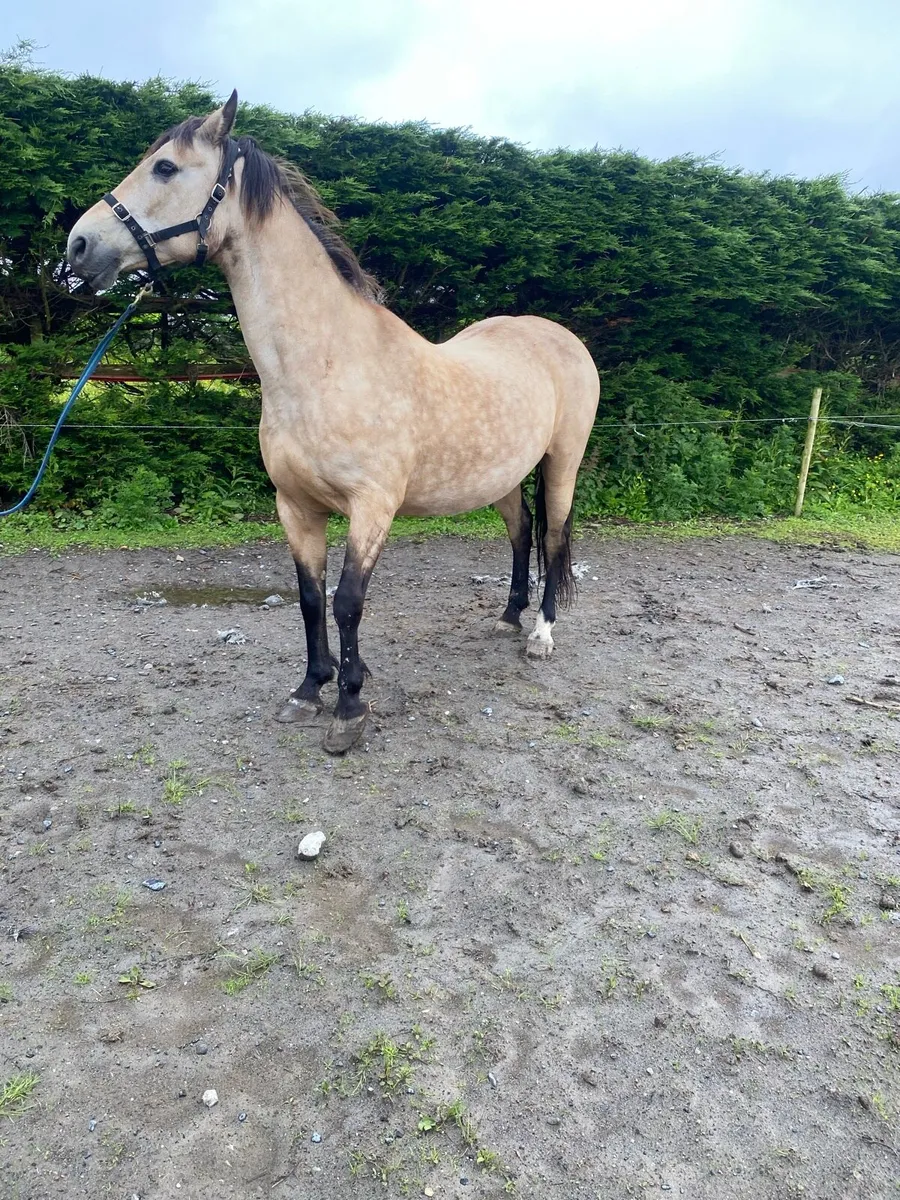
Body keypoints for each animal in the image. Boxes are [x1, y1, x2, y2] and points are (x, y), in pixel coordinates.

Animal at [67, 92, 600, 754]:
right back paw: (507, 617)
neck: (326, 364)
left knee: (552, 539)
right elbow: (309, 598)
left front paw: (349, 706)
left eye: (165, 168)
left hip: (562, 463)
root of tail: (558, 336)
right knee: (521, 533)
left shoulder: (372, 507)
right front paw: (309, 689)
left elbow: (347, 602)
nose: (78, 246)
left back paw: (541, 633)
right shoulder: (296, 505)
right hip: (500, 476)